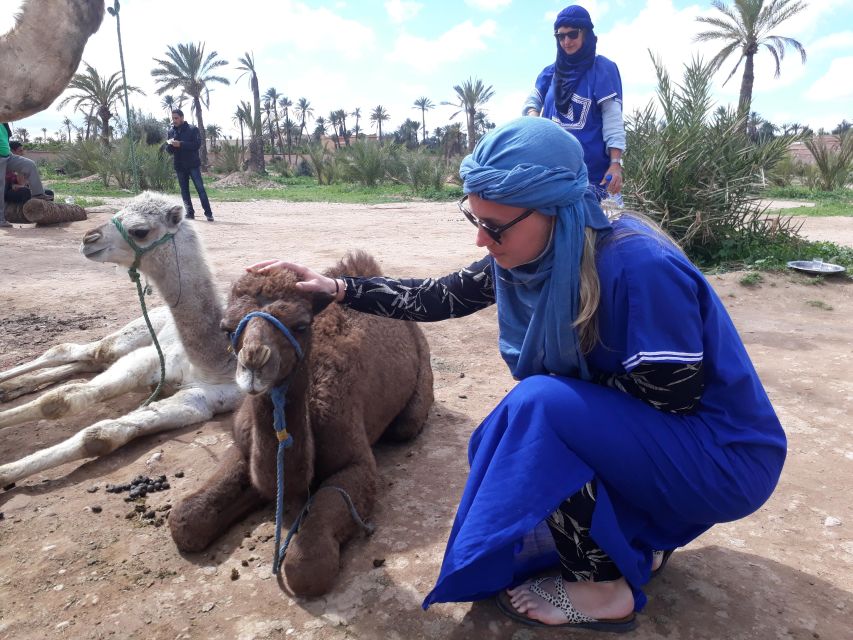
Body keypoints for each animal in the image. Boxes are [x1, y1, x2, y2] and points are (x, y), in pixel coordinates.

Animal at [0, 192, 241, 488]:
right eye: (119, 211)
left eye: (140, 231)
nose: (88, 238)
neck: (216, 362)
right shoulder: (150, 358)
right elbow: (62, 398)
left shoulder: (204, 400)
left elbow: (99, 434)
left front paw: (5, 473)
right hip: (134, 334)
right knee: (79, 351)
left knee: (88, 360)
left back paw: (11, 388)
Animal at [168, 250, 432, 596]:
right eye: (227, 329)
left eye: (302, 325)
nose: (254, 361)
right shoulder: (242, 443)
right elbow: (186, 520)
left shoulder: (355, 461)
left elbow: (308, 565)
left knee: (407, 424)